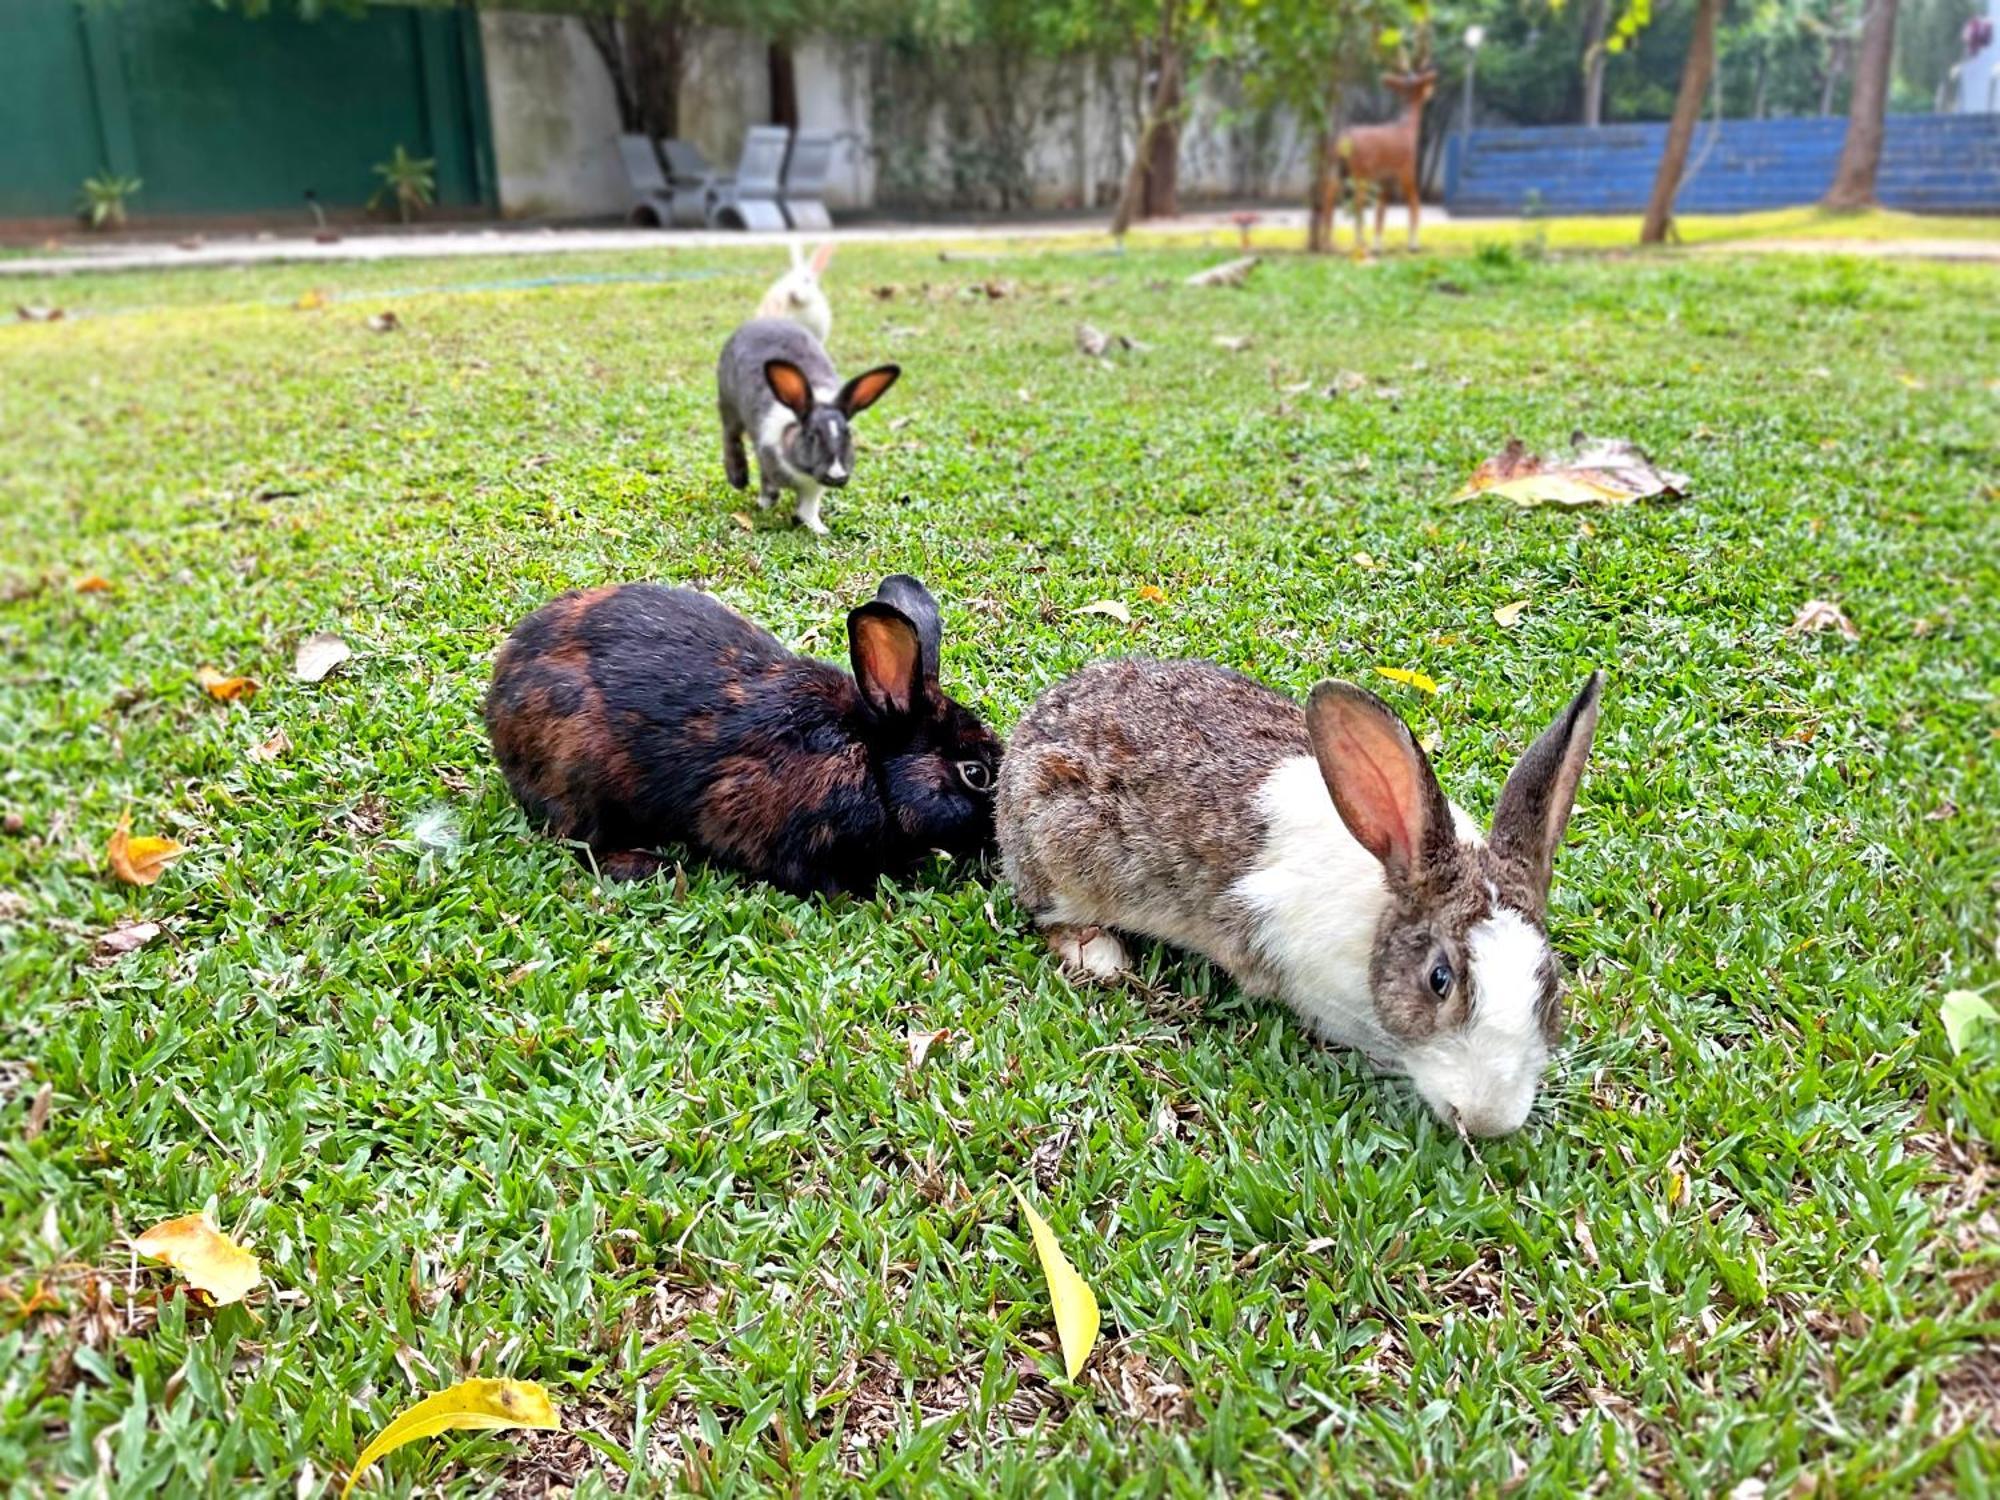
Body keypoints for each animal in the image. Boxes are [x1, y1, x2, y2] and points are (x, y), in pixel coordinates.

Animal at [720, 314, 900, 536]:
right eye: (812, 435)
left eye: (848, 434)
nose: (836, 476)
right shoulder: (766, 455)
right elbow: (768, 484)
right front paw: (765, 503)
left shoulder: (813, 488)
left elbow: (809, 507)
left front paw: (819, 529)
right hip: (728, 403)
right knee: (731, 435)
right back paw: (738, 478)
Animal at [1000, 656, 1608, 1136]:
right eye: (1439, 979)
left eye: (1550, 986)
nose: (1487, 1120)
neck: (1390, 890)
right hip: (1064, 862)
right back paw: (1100, 956)